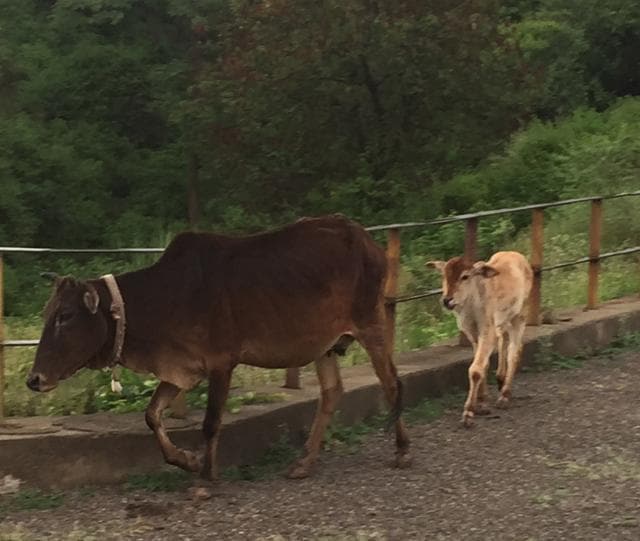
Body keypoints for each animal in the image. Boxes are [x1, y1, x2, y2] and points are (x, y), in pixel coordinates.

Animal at [26, 215, 411, 480]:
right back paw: (304, 463)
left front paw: (205, 477)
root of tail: (366, 240)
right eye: (46, 314)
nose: (34, 379)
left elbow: (211, 422)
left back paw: (402, 451)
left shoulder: (220, 363)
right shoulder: (181, 368)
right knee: (331, 393)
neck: (164, 298)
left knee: (392, 383)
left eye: (65, 315)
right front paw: (187, 460)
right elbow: (152, 415)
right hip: (325, 345)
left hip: (370, 323)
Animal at [426, 251, 533, 427]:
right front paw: (482, 403)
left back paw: (505, 395)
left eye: (465, 276)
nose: (447, 300)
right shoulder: (472, 333)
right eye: (444, 275)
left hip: (519, 315)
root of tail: (518, 256)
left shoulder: (487, 331)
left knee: (514, 352)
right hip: (503, 321)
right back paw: (500, 378)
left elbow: (476, 369)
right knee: (503, 338)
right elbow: (483, 364)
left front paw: (469, 412)